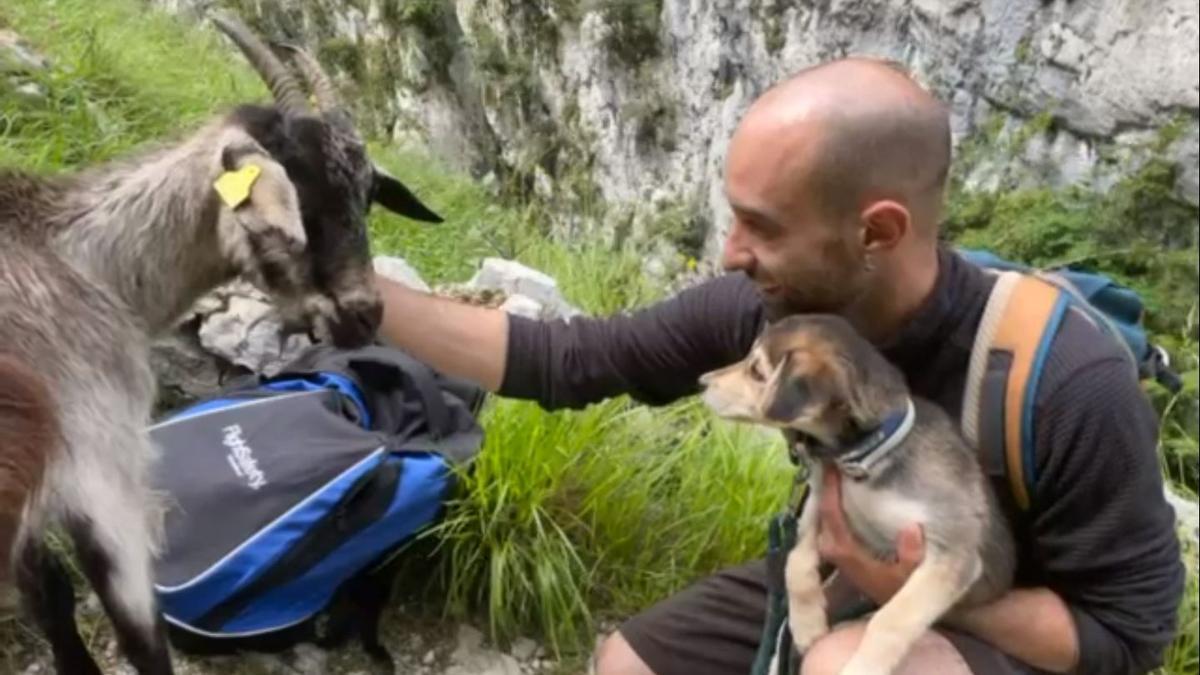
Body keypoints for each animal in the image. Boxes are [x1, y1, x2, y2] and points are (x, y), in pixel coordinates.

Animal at [0, 11, 441, 672]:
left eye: (365, 196)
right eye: (296, 192)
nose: (364, 314)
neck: (83, 263)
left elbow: (48, 594)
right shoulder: (104, 469)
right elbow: (140, 637)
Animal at [700, 314, 1017, 672]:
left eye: (756, 371)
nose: (702, 381)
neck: (862, 460)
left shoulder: (952, 553)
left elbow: (893, 617)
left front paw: (864, 666)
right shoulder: (818, 506)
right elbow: (795, 563)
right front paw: (807, 625)